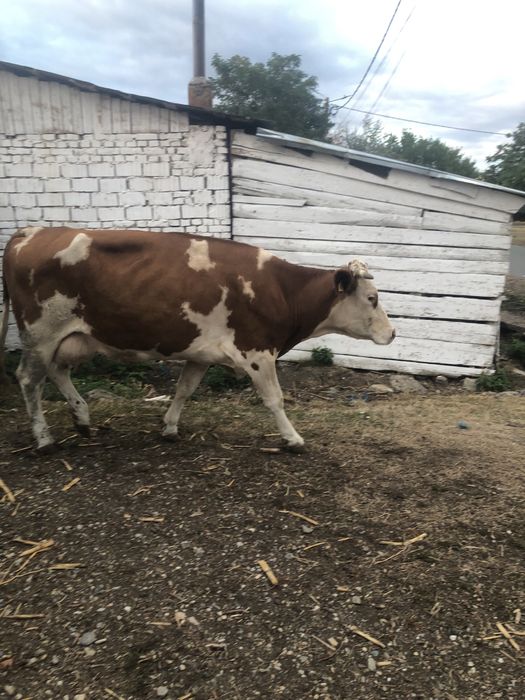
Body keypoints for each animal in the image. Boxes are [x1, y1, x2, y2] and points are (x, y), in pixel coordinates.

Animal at [0, 226, 395, 452]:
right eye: (372, 298)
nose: (392, 333)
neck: (282, 290)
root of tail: (30, 231)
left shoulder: (201, 352)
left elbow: (184, 390)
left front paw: (170, 428)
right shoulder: (258, 350)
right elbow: (275, 399)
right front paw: (293, 439)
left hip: (71, 336)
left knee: (57, 372)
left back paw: (82, 420)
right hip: (40, 332)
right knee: (29, 379)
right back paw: (44, 439)